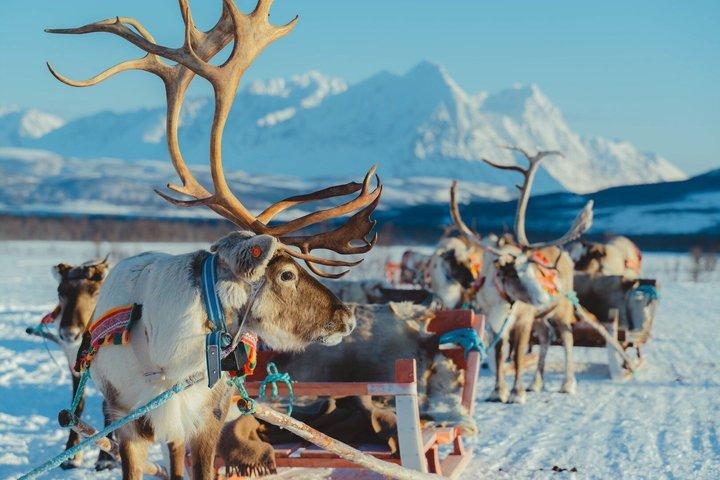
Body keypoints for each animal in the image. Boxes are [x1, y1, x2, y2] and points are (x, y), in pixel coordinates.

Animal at [51, 258, 118, 470]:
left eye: (96, 292)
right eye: (60, 291)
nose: (69, 333)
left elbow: (107, 407)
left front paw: (106, 458)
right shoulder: (74, 368)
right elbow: (77, 406)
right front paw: (71, 454)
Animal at [450, 146, 594, 403]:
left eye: (534, 273)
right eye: (515, 275)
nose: (544, 297)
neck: (502, 298)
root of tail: (566, 256)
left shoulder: (524, 320)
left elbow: (517, 356)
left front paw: (516, 393)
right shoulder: (495, 322)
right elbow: (499, 355)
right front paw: (498, 391)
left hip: (561, 309)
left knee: (566, 337)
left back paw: (567, 384)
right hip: (541, 317)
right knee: (546, 336)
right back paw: (536, 383)